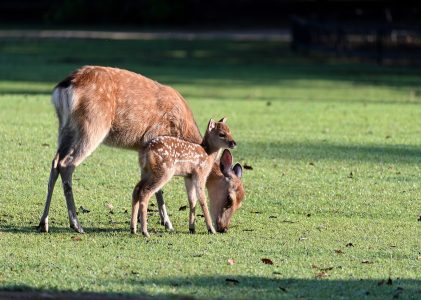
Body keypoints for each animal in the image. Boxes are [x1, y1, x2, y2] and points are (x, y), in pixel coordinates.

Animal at [37, 65, 244, 234]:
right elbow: (159, 189)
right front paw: (166, 223)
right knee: (67, 164)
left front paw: (140, 221)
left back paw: (43, 223)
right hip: (92, 125)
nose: (223, 228)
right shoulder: (154, 140)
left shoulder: (143, 150)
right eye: (229, 199)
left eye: (242, 201)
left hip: (64, 128)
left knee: (55, 162)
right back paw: (76, 224)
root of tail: (64, 87)